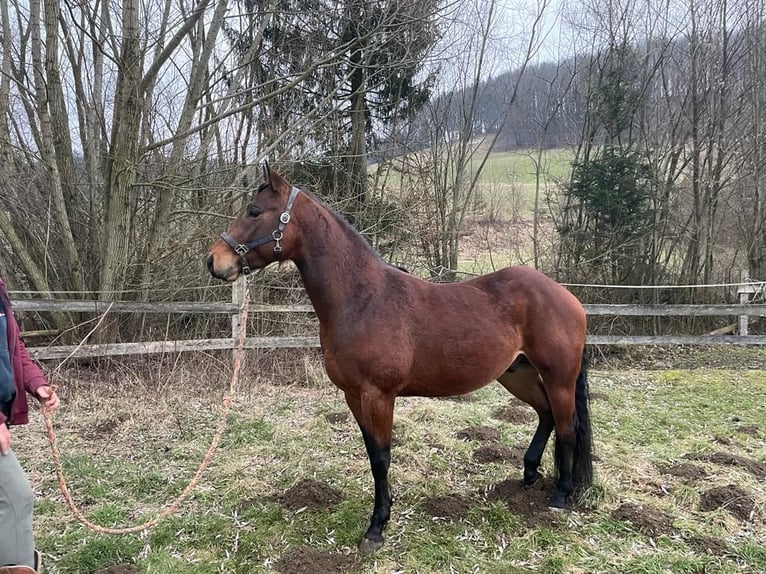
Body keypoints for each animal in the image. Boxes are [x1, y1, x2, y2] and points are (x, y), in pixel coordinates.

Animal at [207, 163, 593, 554]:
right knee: (545, 414)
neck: (361, 299)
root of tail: (567, 297)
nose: (214, 261)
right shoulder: (353, 395)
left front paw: (377, 527)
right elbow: (371, 452)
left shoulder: (379, 395)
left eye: (254, 211)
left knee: (567, 426)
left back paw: (560, 496)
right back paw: (529, 474)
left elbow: (381, 457)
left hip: (558, 377)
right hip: (517, 373)